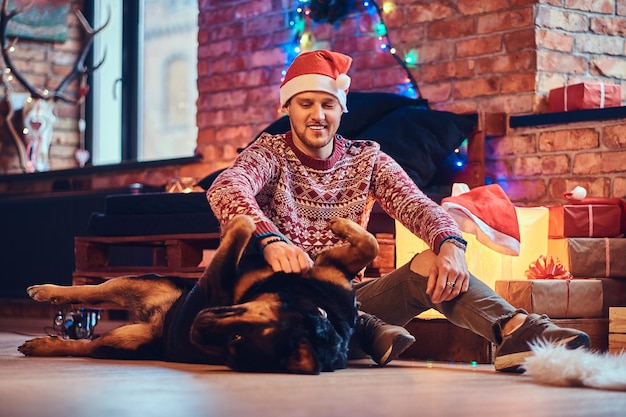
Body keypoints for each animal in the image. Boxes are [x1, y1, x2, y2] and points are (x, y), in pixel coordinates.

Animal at [17, 214, 376, 374]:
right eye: (249, 312)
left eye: (237, 340)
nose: (196, 326)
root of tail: (157, 323)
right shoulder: (334, 274)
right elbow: (369, 243)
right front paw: (341, 224)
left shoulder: (214, 284)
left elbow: (242, 227)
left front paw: (242, 222)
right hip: (144, 281)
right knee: (93, 289)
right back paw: (46, 292)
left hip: (120, 342)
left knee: (83, 344)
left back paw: (43, 342)